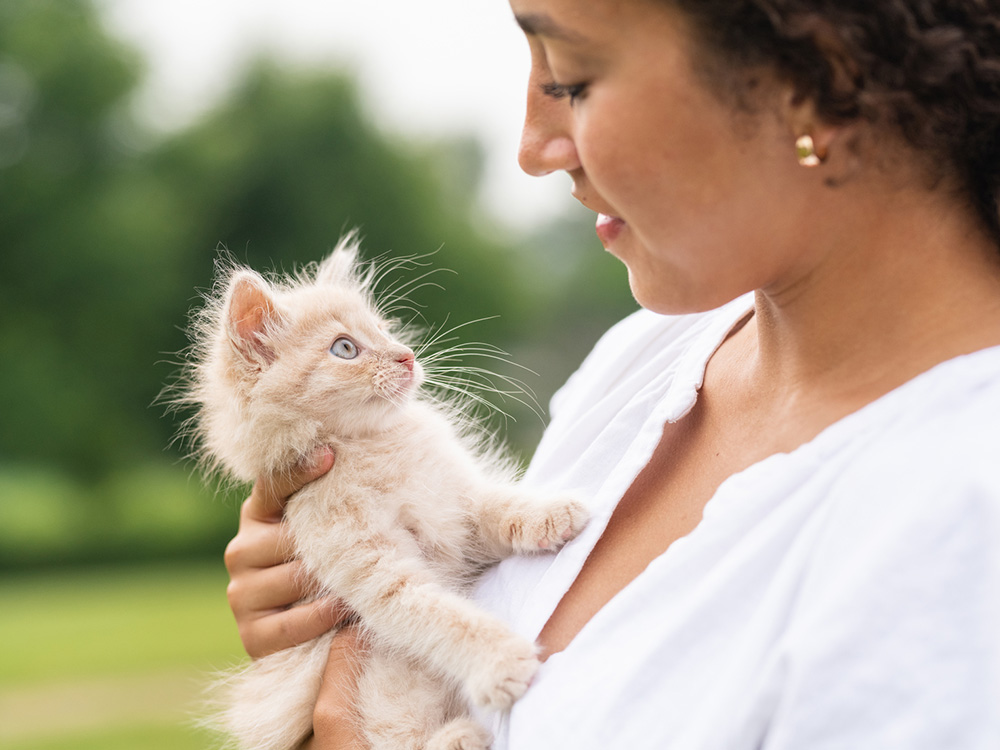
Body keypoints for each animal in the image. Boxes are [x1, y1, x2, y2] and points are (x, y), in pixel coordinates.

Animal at [179, 238, 584, 750]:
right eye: (345, 348)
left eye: (385, 331)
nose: (406, 356)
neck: (374, 445)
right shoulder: (374, 570)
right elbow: (440, 615)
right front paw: (500, 663)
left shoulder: (456, 513)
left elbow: (496, 506)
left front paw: (552, 512)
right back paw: (457, 738)